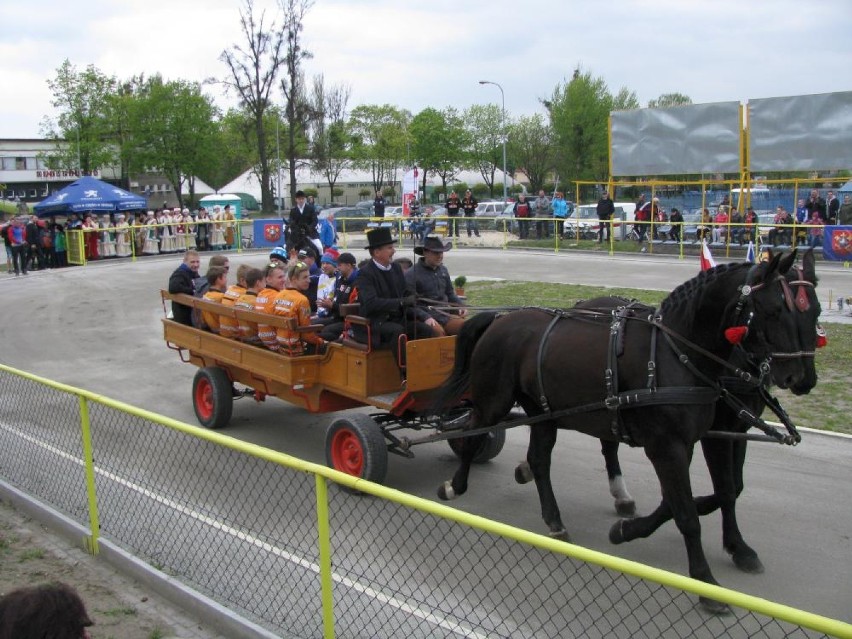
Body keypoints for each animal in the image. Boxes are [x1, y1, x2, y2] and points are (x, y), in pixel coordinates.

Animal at [432, 251, 820, 616]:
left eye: (814, 312)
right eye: (772, 310)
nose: (801, 378)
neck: (677, 354)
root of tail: (500, 318)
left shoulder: (705, 437)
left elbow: (720, 492)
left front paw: (729, 546)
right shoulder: (671, 446)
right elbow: (688, 513)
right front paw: (706, 584)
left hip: (543, 411)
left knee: (540, 459)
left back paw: (555, 518)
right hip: (494, 401)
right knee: (473, 435)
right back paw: (456, 485)